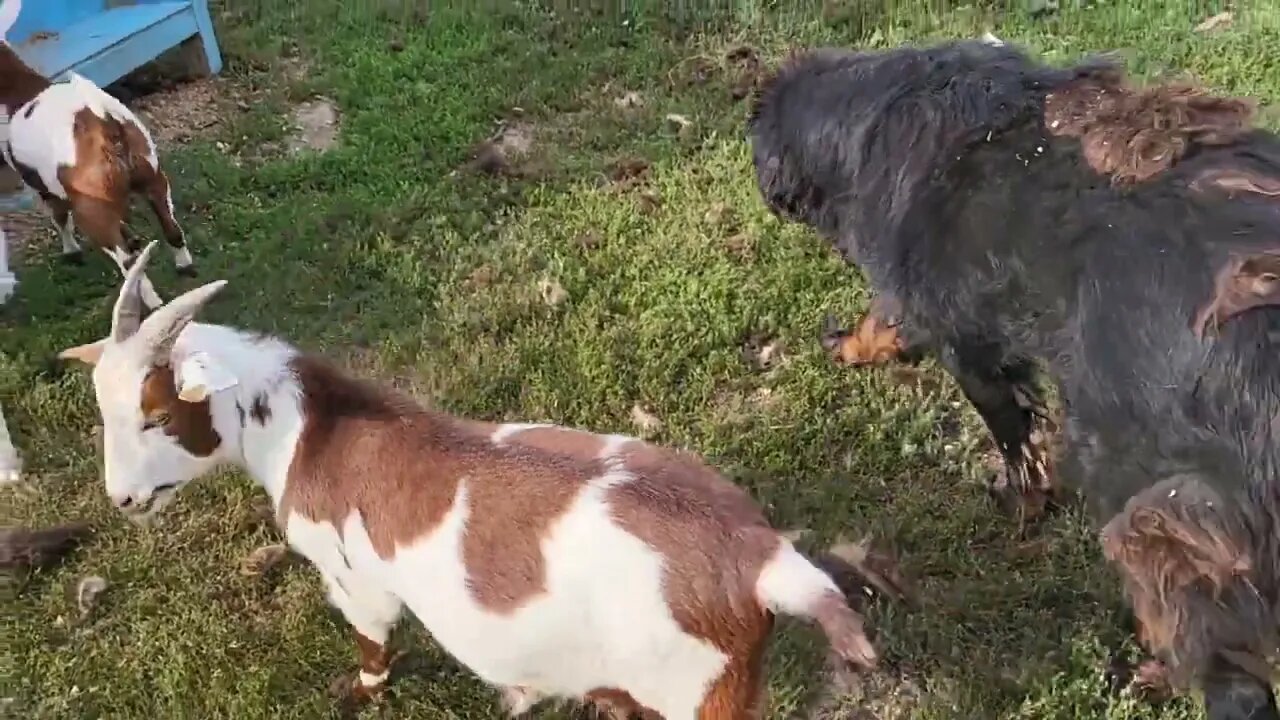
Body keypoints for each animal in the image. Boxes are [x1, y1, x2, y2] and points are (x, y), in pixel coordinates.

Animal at [0, 0, 194, 307]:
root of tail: (104, 123)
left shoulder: (47, 189)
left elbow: (59, 218)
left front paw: (71, 252)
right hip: (152, 177)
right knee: (171, 228)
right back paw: (184, 267)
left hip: (92, 211)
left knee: (128, 264)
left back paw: (150, 303)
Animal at [55, 242, 885, 717]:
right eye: (104, 409)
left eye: (155, 414)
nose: (123, 499)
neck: (309, 429)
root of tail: (759, 560)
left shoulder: (356, 581)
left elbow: (372, 643)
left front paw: (359, 693)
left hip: (699, 694)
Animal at [747, 39, 1280, 717]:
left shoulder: (967, 343)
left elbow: (1011, 434)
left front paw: (1021, 504)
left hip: (1159, 500)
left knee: (1221, 661)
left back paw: (1150, 670)